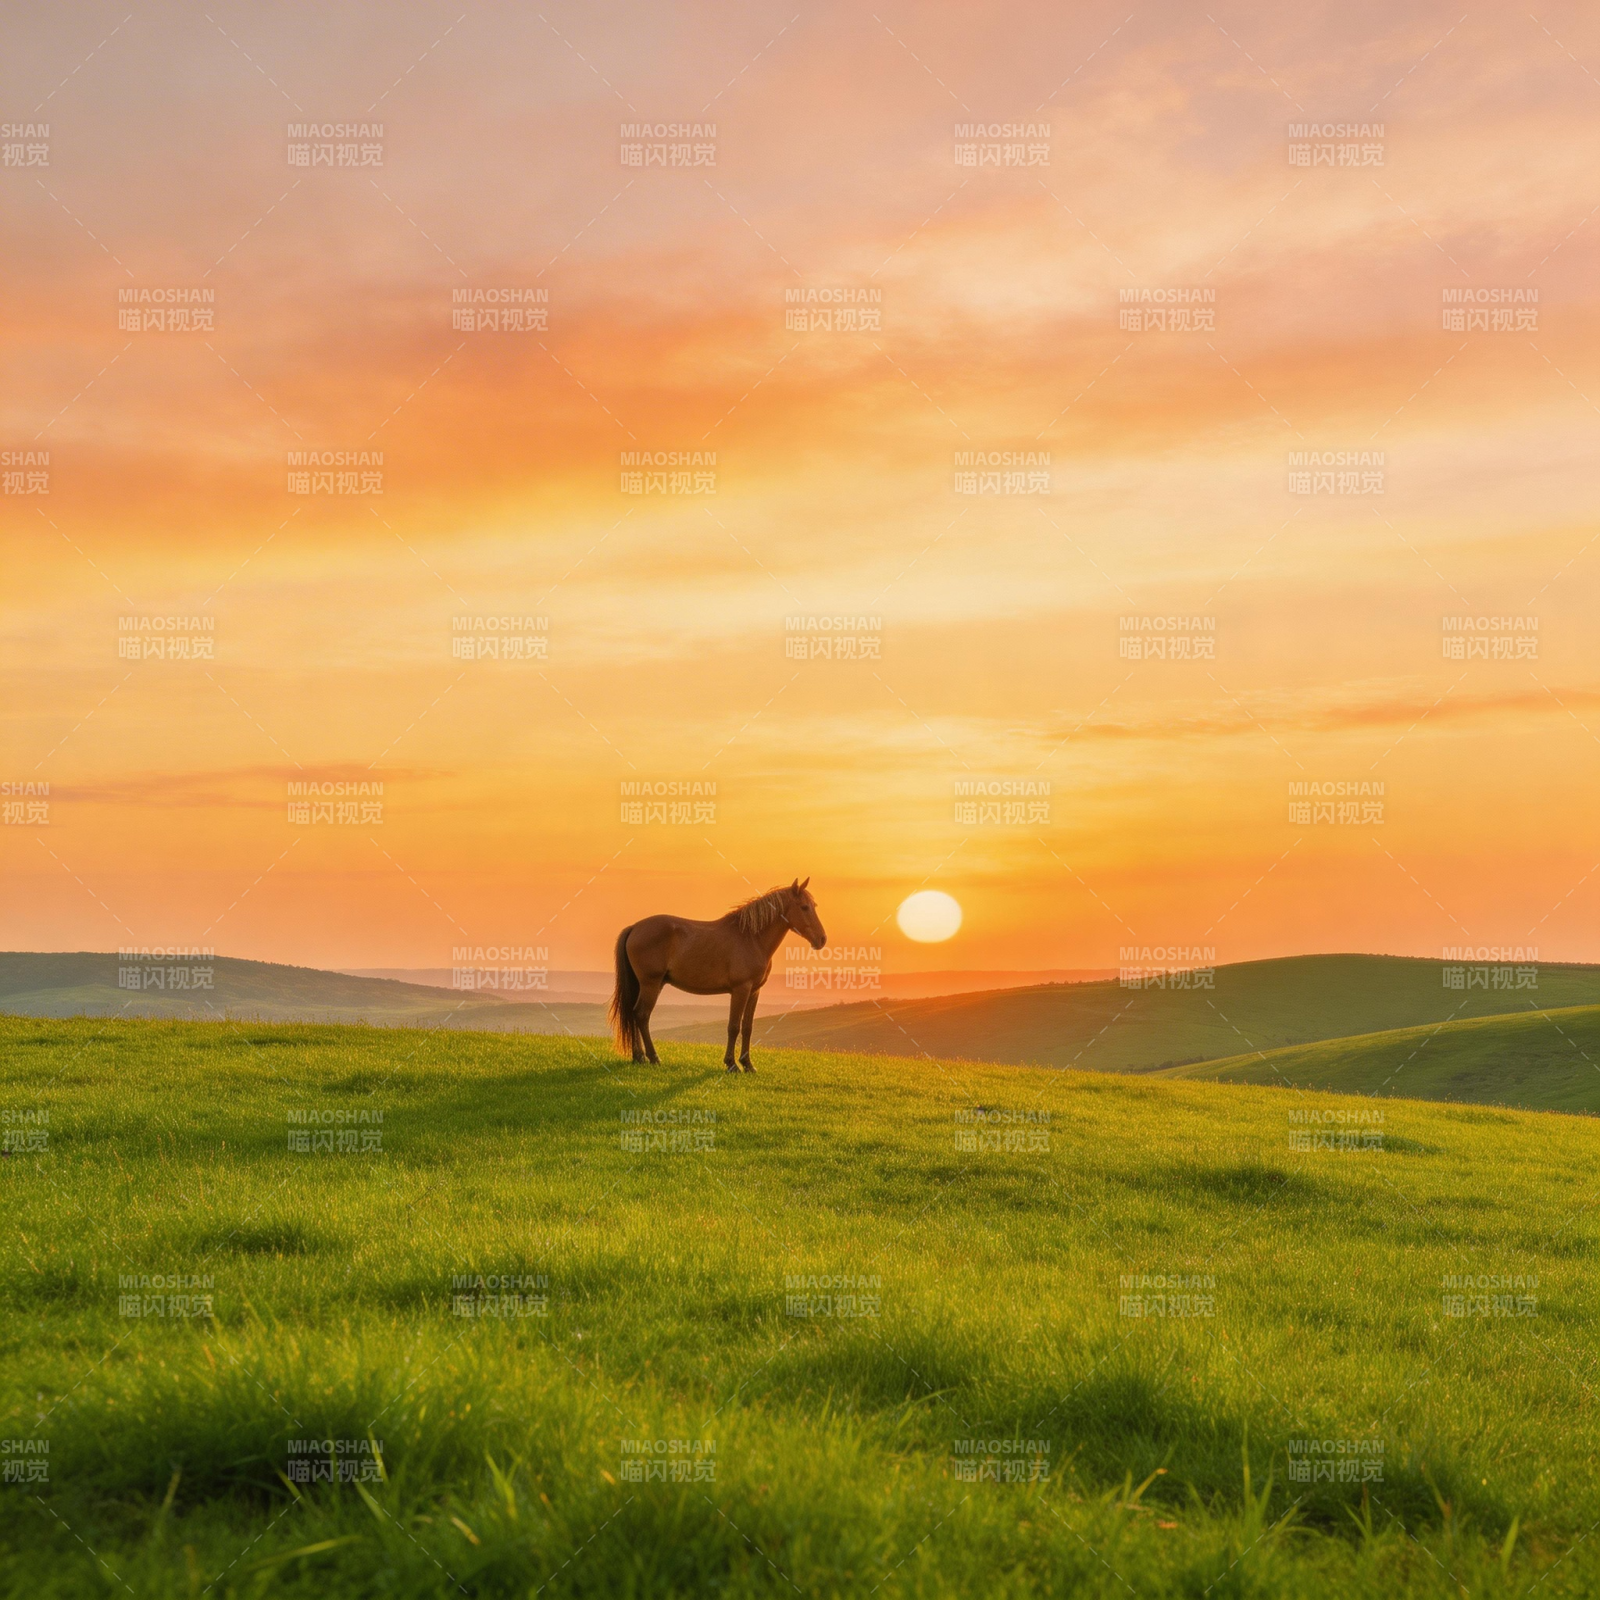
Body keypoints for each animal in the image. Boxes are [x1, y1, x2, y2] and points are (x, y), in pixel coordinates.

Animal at [609, 878, 827, 1072]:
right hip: (651, 984)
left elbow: (747, 1027)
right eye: (804, 907)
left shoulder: (754, 992)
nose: (822, 939)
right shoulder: (740, 990)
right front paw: (731, 1064)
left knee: (634, 1014)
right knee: (642, 1014)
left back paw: (639, 1057)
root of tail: (635, 927)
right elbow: (733, 1026)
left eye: (814, 905)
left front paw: (748, 1065)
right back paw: (653, 1058)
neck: (751, 938)